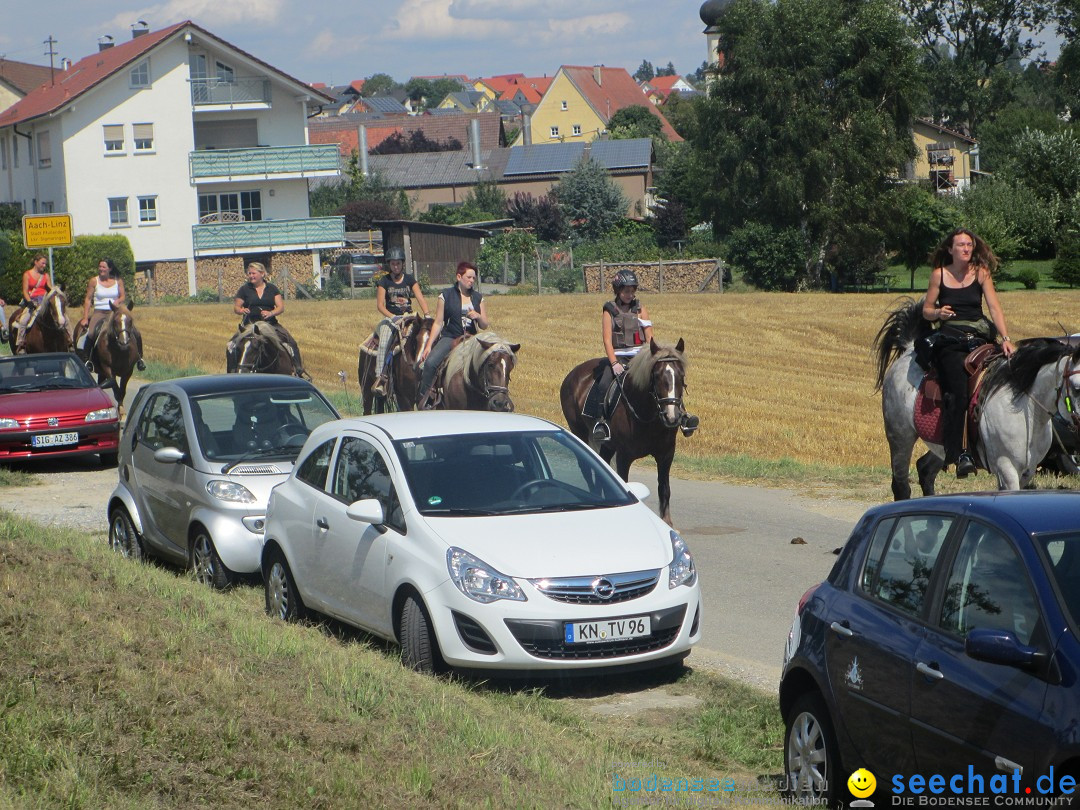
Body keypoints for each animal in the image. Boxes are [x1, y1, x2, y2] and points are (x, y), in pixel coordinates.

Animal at [565, 336, 691, 522]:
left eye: (681, 375)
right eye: (656, 376)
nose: (672, 417)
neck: (648, 417)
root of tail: (572, 374)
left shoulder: (666, 455)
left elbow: (664, 490)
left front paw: (667, 523)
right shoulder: (624, 457)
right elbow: (624, 482)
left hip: (607, 446)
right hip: (579, 434)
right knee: (587, 469)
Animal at [872, 300, 1075, 498]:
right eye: (1076, 387)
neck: (1027, 409)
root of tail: (909, 348)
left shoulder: (1028, 470)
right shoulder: (1007, 468)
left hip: (944, 445)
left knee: (925, 469)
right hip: (900, 437)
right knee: (901, 485)